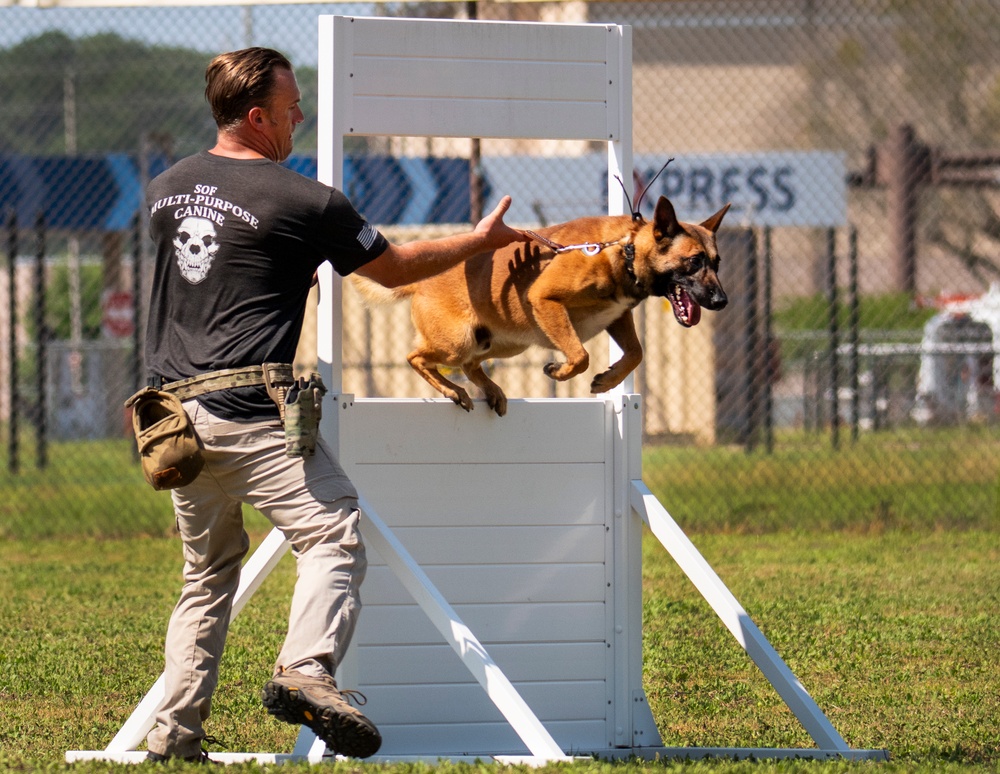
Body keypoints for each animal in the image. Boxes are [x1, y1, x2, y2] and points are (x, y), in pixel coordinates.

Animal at [352, 196, 728, 418]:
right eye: (694, 261)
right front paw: (560, 372)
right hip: (459, 341)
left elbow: (636, 353)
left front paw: (607, 380)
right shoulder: (544, 299)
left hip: (505, 342)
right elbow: (580, 356)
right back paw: (452, 390)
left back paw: (490, 390)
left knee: (471, 365)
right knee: (416, 358)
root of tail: (420, 280)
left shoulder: (618, 316)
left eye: (717, 262)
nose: (721, 301)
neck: (626, 249)